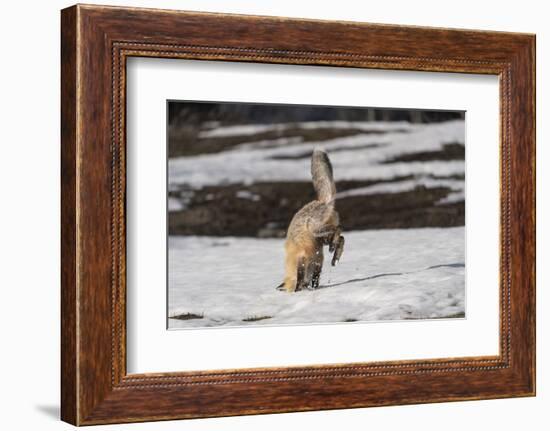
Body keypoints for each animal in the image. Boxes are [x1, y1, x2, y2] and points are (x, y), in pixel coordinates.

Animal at [280, 148, 344, 294]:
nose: (305, 285)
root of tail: (321, 202)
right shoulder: (318, 260)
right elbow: (316, 277)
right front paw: (313, 288)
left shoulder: (302, 258)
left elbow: (300, 277)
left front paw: (298, 291)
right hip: (322, 239)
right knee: (341, 237)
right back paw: (335, 256)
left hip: (315, 230)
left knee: (338, 229)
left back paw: (334, 248)